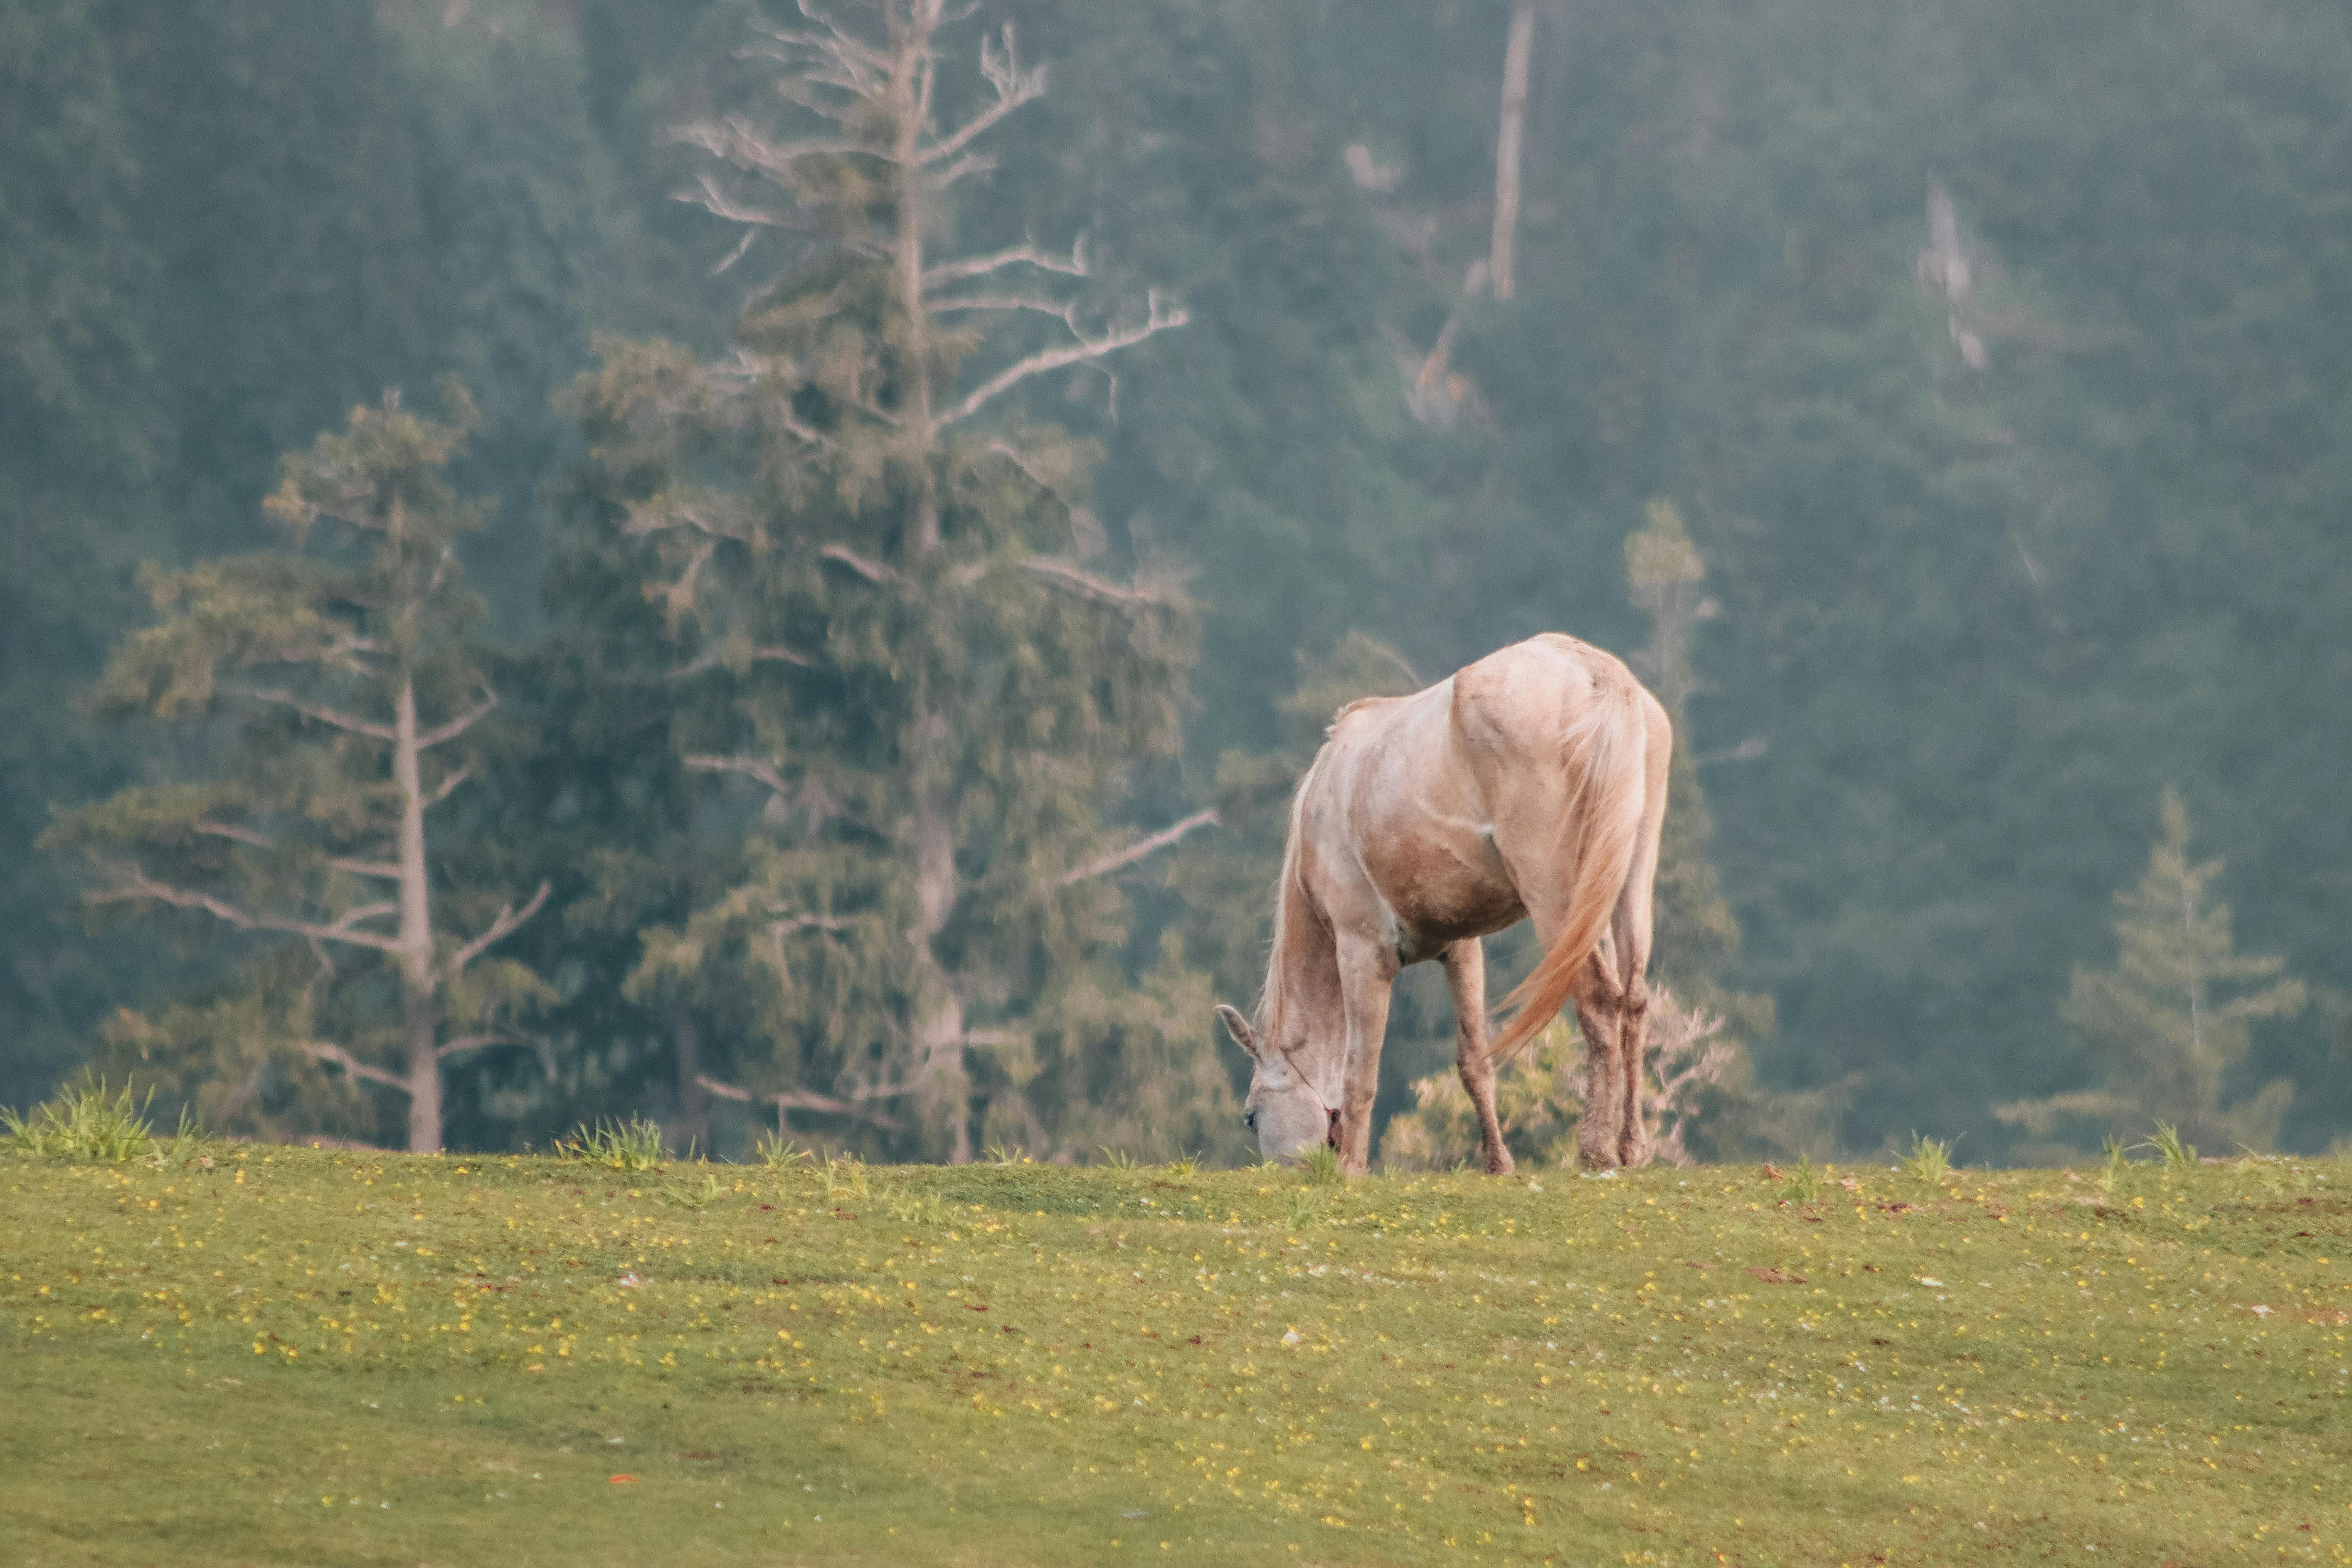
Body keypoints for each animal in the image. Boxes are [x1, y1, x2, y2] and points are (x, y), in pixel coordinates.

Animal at [1213, 633, 1672, 1175]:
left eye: (1251, 1116)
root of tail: (1600, 676)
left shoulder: (1361, 953)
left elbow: (1359, 1074)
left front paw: (1350, 1169)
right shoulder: (1461, 948)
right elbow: (1473, 1061)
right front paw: (1498, 1164)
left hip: (1555, 895)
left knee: (1600, 999)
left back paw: (1595, 1150)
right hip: (1631, 878)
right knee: (1635, 999)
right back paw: (1631, 1146)